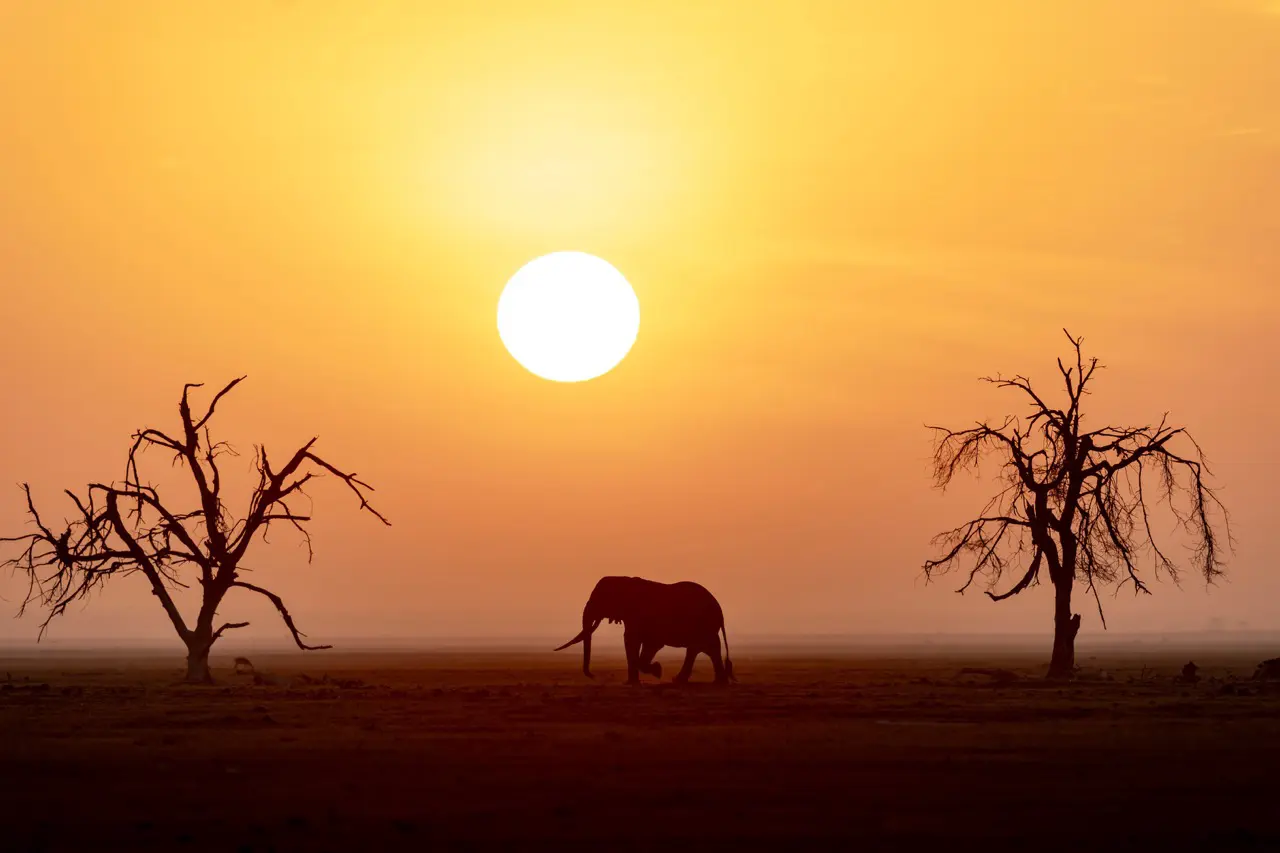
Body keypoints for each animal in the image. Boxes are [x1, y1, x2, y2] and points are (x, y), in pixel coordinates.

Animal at [555, 571, 737, 686]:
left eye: (600, 599)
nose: (594, 676)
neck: (623, 580)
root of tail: (719, 609)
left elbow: (645, 642)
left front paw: (657, 671)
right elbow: (631, 641)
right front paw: (631, 683)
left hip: (704, 624)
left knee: (705, 647)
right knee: (701, 649)